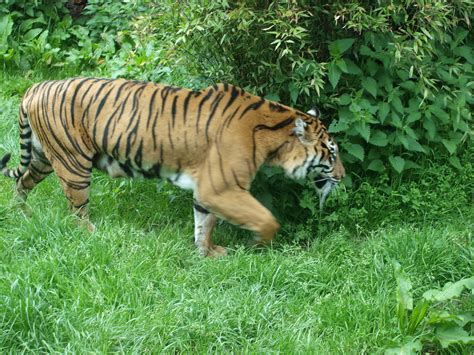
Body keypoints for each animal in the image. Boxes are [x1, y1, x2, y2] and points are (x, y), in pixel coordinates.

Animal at [0, 78, 344, 258]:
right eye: (331, 152)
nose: (342, 177)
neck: (274, 133)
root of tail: (34, 87)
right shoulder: (222, 188)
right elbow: (267, 219)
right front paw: (256, 246)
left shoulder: (208, 191)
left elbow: (204, 224)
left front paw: (207, 253)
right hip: (73, 165)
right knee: (77, 212)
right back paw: (94, 236)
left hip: (44, 158)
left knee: (21, 184)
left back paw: (22, 214)